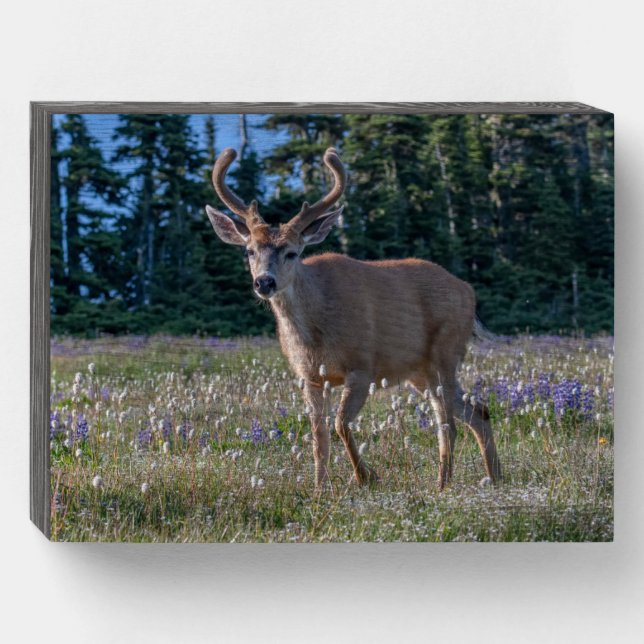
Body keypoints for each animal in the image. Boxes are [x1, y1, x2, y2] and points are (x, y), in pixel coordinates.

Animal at [205, 146, 501, 491]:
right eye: (250, 251)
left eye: (292, 252)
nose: (264, 282)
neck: (314, 332)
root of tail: (468, 290)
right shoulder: (310, 376)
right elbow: (319, 437)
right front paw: (320, 488)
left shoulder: (362, 367)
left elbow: (340, 424)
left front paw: (365, 476)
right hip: (420, 372)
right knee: (471, 413)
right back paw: (483, 478)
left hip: (446, 351)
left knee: (454, 421)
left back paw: (454, 483)